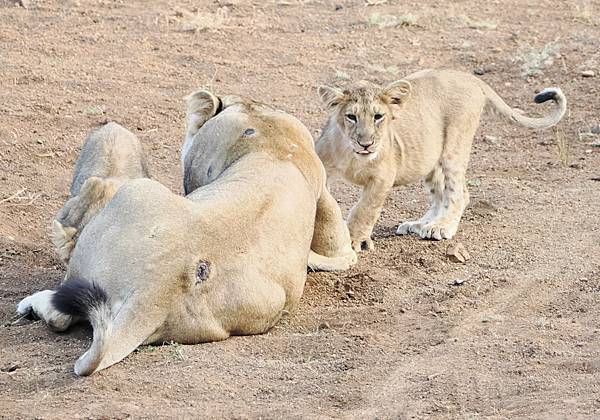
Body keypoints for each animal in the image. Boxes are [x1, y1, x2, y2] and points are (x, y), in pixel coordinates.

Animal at [316, 68, 564, 251]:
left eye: (378, 116)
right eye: (351, 116)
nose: (366, 144)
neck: (353, 156)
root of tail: (470, 77)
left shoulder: (382, 178)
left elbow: (365, 209)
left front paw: (355, 239)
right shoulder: (324, 167)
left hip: (454, 147)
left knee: (460, 193)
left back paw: (442, 227)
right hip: (429, 157)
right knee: (439, 195)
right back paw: (422, 224)